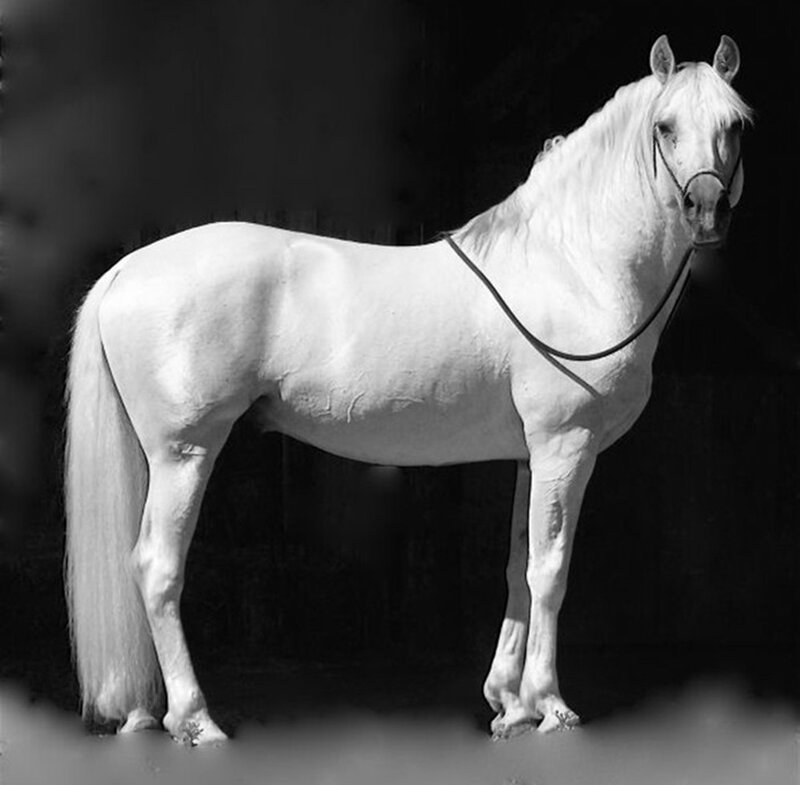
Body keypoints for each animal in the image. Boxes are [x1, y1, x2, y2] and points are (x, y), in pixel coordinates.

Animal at [64, 34, 751, 745]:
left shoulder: (532, 456)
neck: (573, 267)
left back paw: (143, 713)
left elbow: (517, 568)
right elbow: (550, 571)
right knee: (157, 567)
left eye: (736, 126)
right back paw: (195, 719)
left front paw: (509, 705)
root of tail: (127, 268)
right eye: (664, 128)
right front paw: (551, 705)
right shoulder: (566, 448)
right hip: (184, 454)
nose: (706, 212)